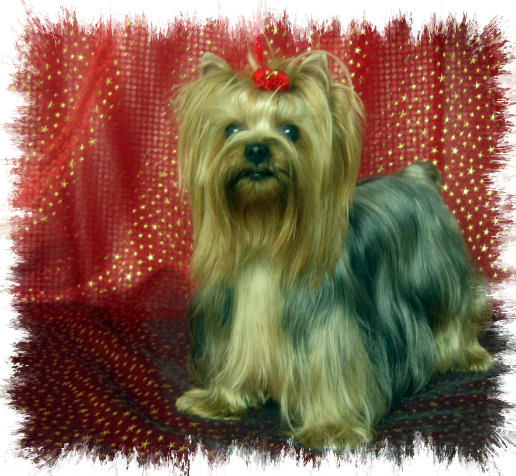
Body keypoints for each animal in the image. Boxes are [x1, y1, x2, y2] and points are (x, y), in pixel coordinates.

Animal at [174, 49, 493, 450]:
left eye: (291, 131)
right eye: (231, 129)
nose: (257, 149)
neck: (265, 234)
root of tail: (417, 177)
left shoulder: (329, 328)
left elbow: (330, 372)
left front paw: (330, 426)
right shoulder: (228, 322)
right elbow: (229, 362)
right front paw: (219, 400)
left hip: (438, 273)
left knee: (457, 310)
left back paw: (467, 354)